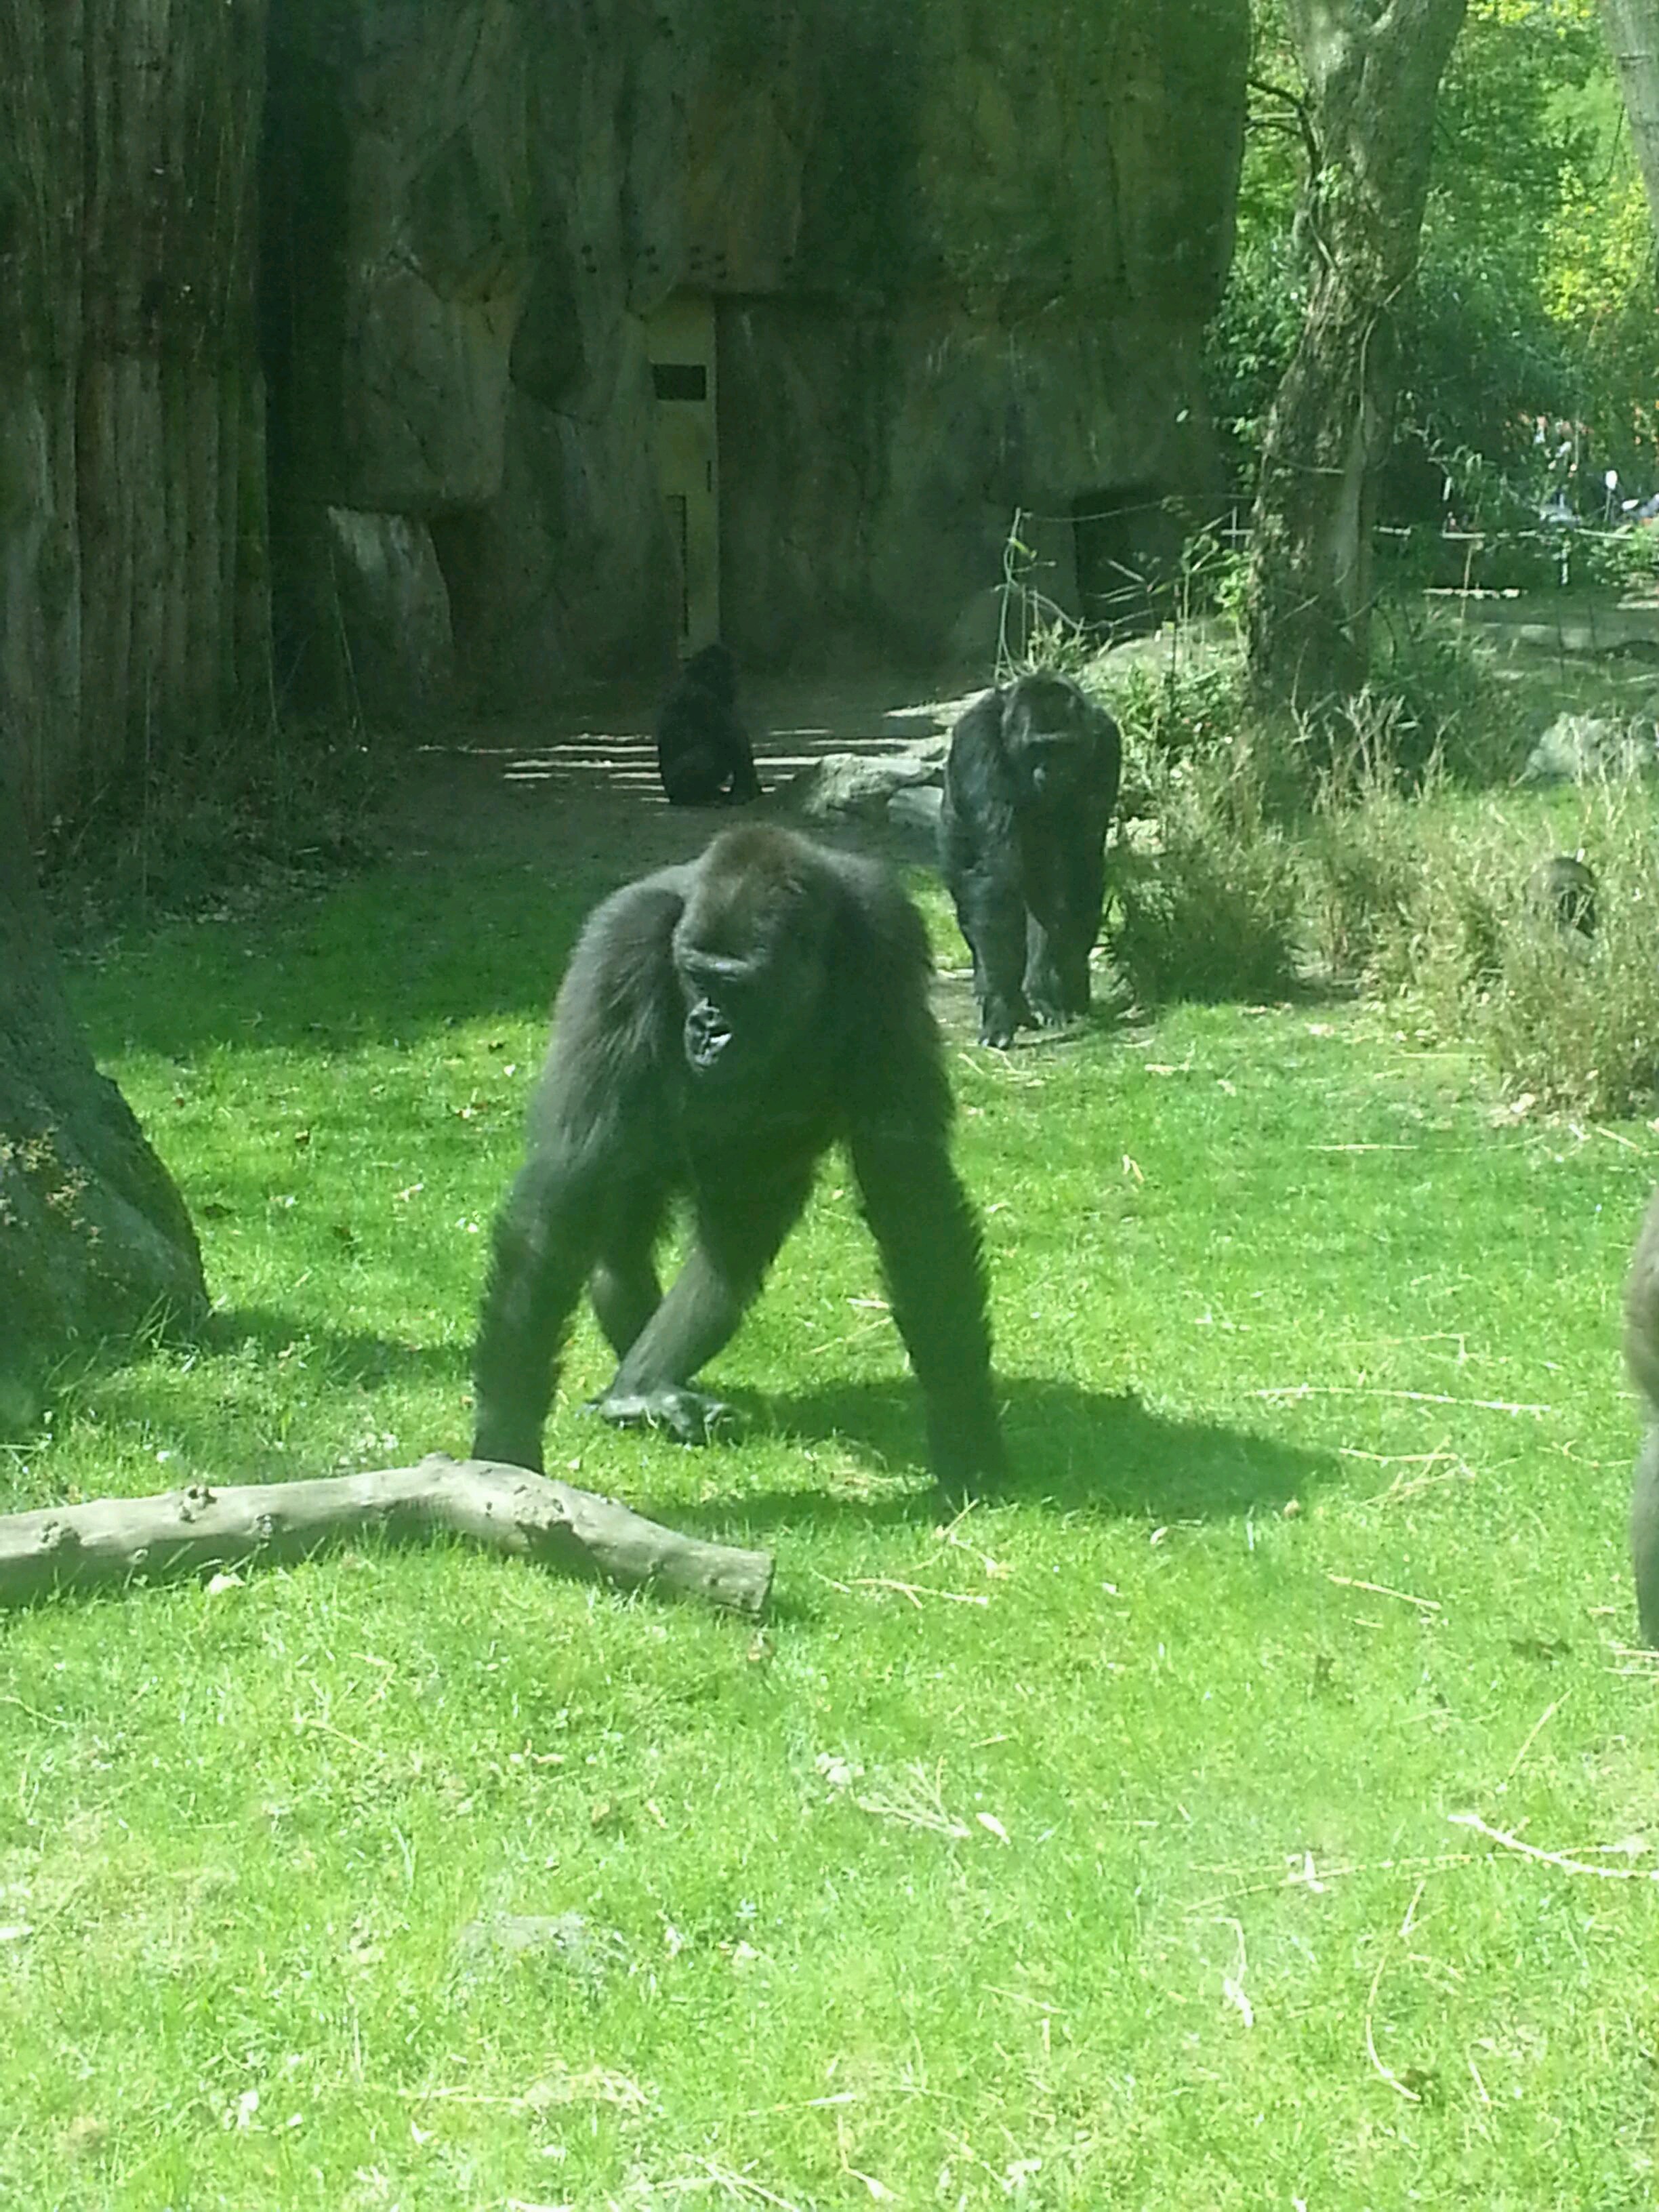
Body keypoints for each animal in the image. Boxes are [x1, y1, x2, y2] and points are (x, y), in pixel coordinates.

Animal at [473, 823, 1008, 1513]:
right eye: (697, 977)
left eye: (737, 986)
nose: (707, 1029)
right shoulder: (621, 946)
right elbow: (570, 1182)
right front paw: (504, 1438)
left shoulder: (889, 944)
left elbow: (908, 1184)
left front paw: (966, 1431)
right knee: (621, 1239)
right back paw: (639, 1390)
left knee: (731, 1250)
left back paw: (646, 1383)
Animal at [663, 641, 765, 805]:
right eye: (728, 674)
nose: (734, 684)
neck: (697, 678)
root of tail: (670, 796)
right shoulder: (703, 698)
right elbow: (734, 741)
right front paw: (745, 790)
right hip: (674, 787)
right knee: (706, 754)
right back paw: (694, 798)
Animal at [942, 668, 1124, 1048]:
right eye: (1038, 748)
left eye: (1064, 747)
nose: (1051, 772)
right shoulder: (978, 744)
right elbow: (995, 878)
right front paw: (1001, 1006)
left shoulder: (1106, 744)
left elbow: (1076, 867)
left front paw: (1055, 987)